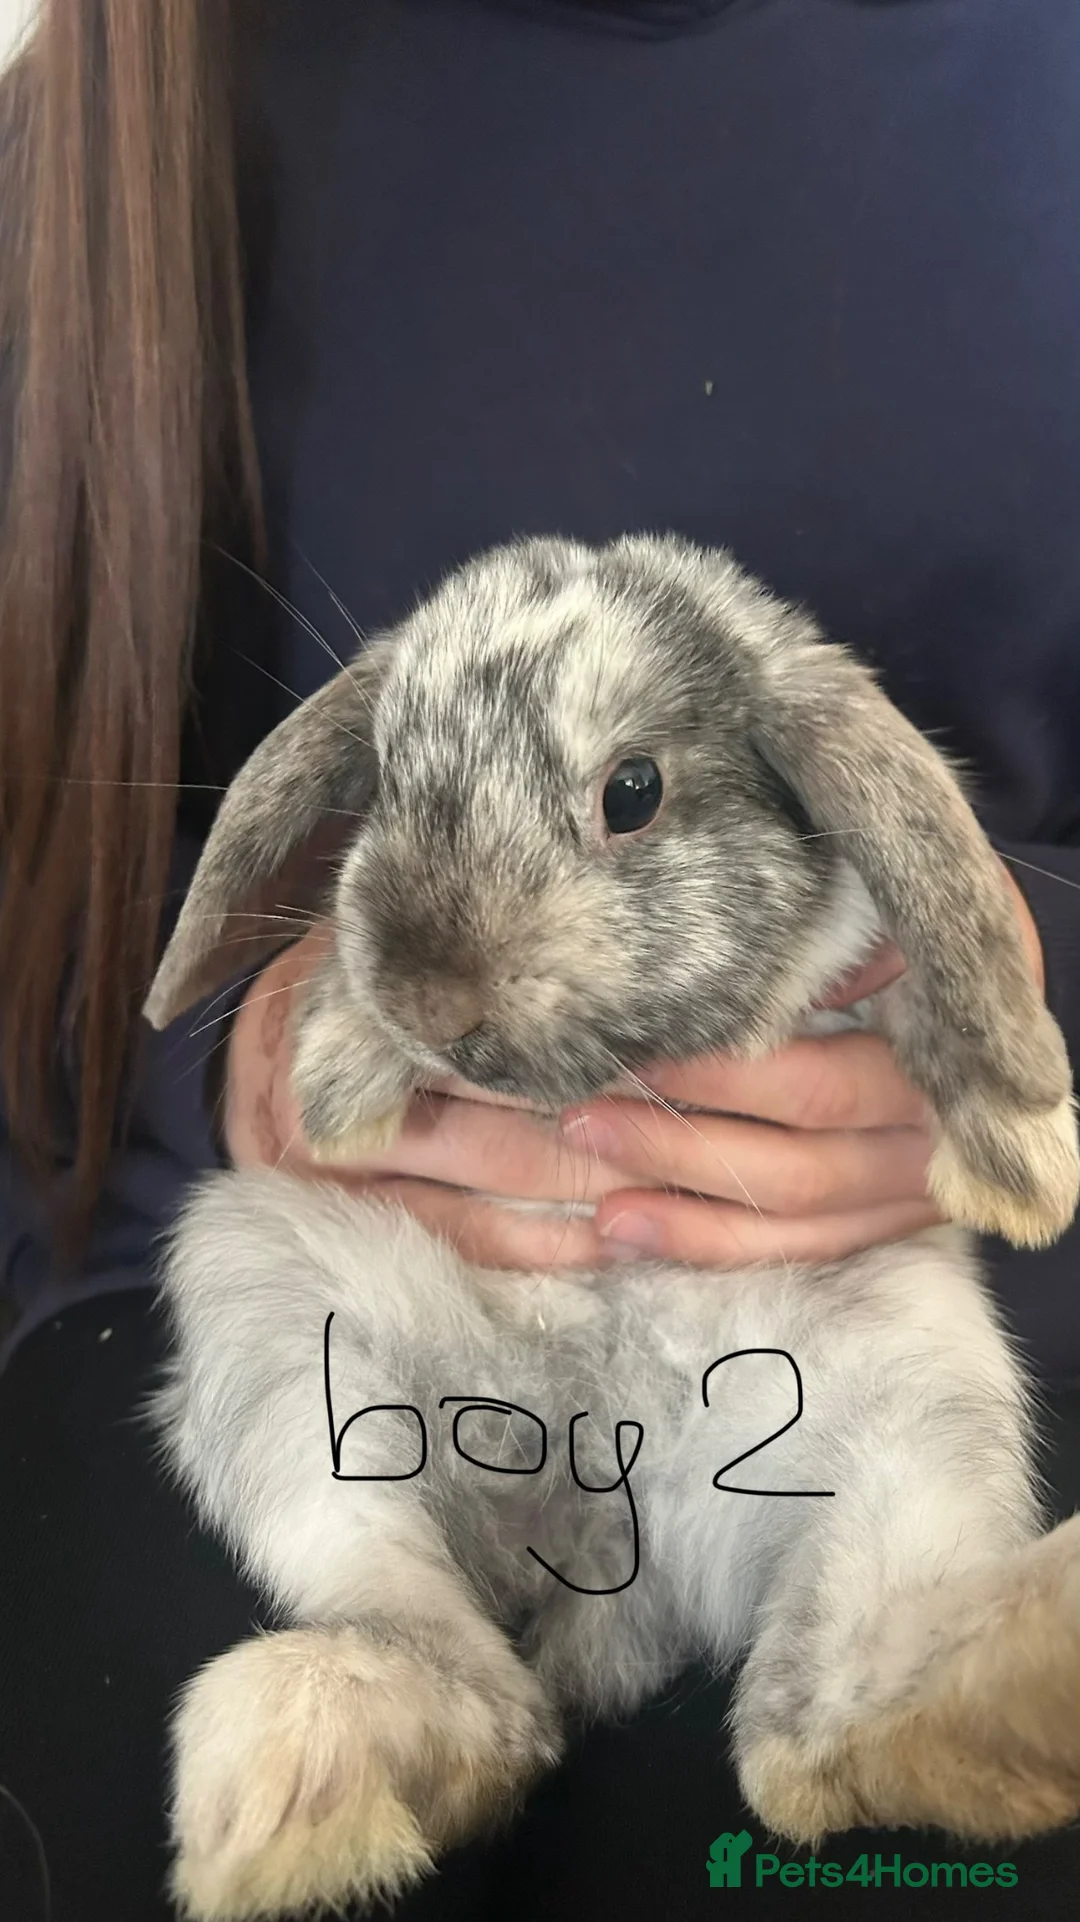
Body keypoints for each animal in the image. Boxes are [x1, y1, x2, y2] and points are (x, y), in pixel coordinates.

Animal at [144, 534, 1080, 1922]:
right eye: (386, 785)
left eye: (631, 791)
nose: (433, 994)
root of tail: (607, 1537)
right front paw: (341, 1071)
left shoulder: (869, 966)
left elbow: (934, 1000)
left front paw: (1026, 1163)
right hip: (275, 1339)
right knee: (477, 1688)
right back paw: (306, 1771)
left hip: (915, 1388)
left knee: (817, 1731)